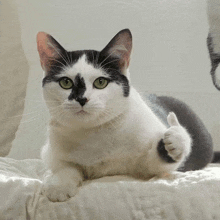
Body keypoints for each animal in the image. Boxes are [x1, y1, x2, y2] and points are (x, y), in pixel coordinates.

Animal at [36, 28, 213, 202]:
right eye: (66, 83)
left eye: (100, 82)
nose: (82, 99)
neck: (94, 134)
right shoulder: (50, 152)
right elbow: (64, 166)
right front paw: (59, 185)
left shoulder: (147, 165)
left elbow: (156, 163)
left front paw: (177, 139)